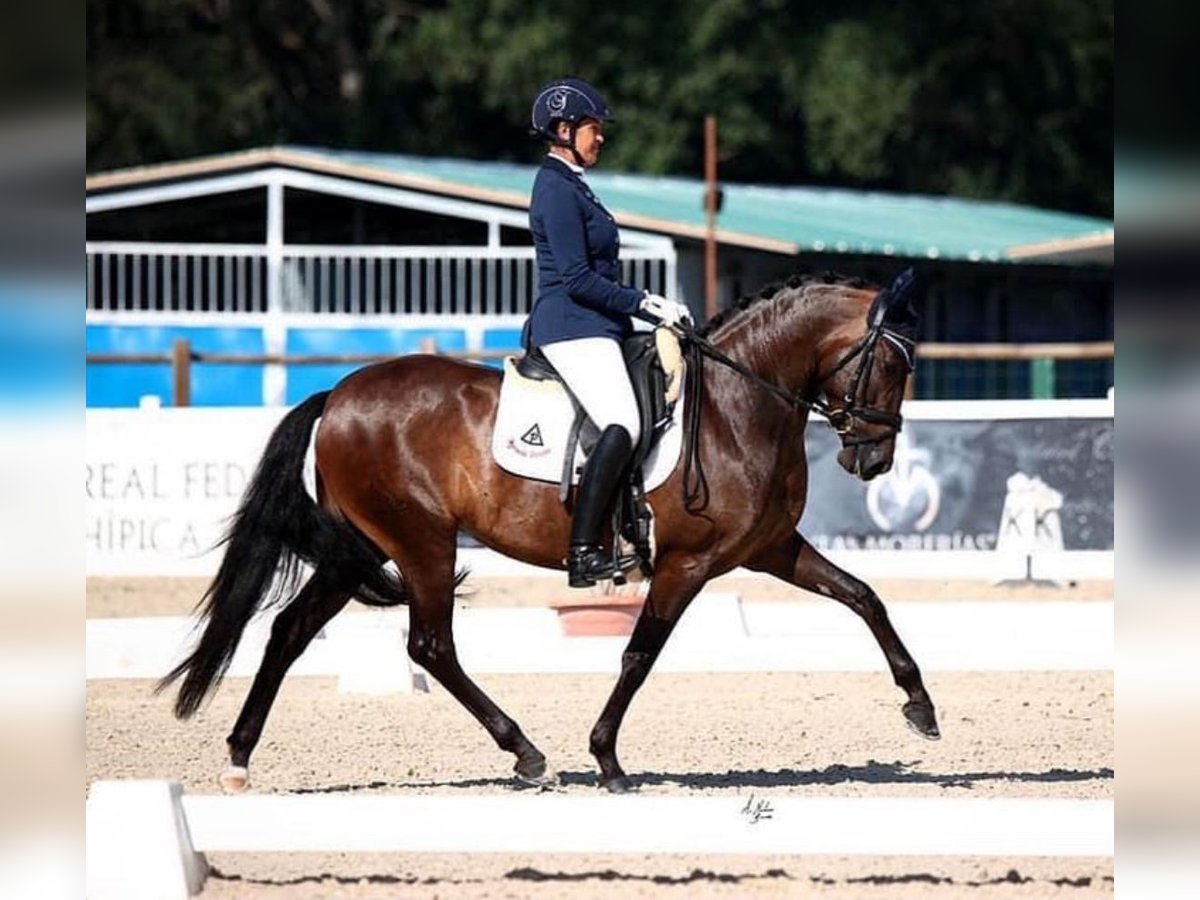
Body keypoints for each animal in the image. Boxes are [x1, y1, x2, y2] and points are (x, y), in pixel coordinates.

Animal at [159, 270, 940, 796]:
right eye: (890, 363)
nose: (873, 460)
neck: (736, 404)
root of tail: (340, 394)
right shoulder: (687, 563)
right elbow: (639, 655)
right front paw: (608, 759)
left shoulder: (768, 549)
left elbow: (864, 597)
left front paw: (921, 707)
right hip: (420, 542)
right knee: (429, 645)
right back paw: (527, 754)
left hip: (365, 547)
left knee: (290, 630)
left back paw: (238, 758)